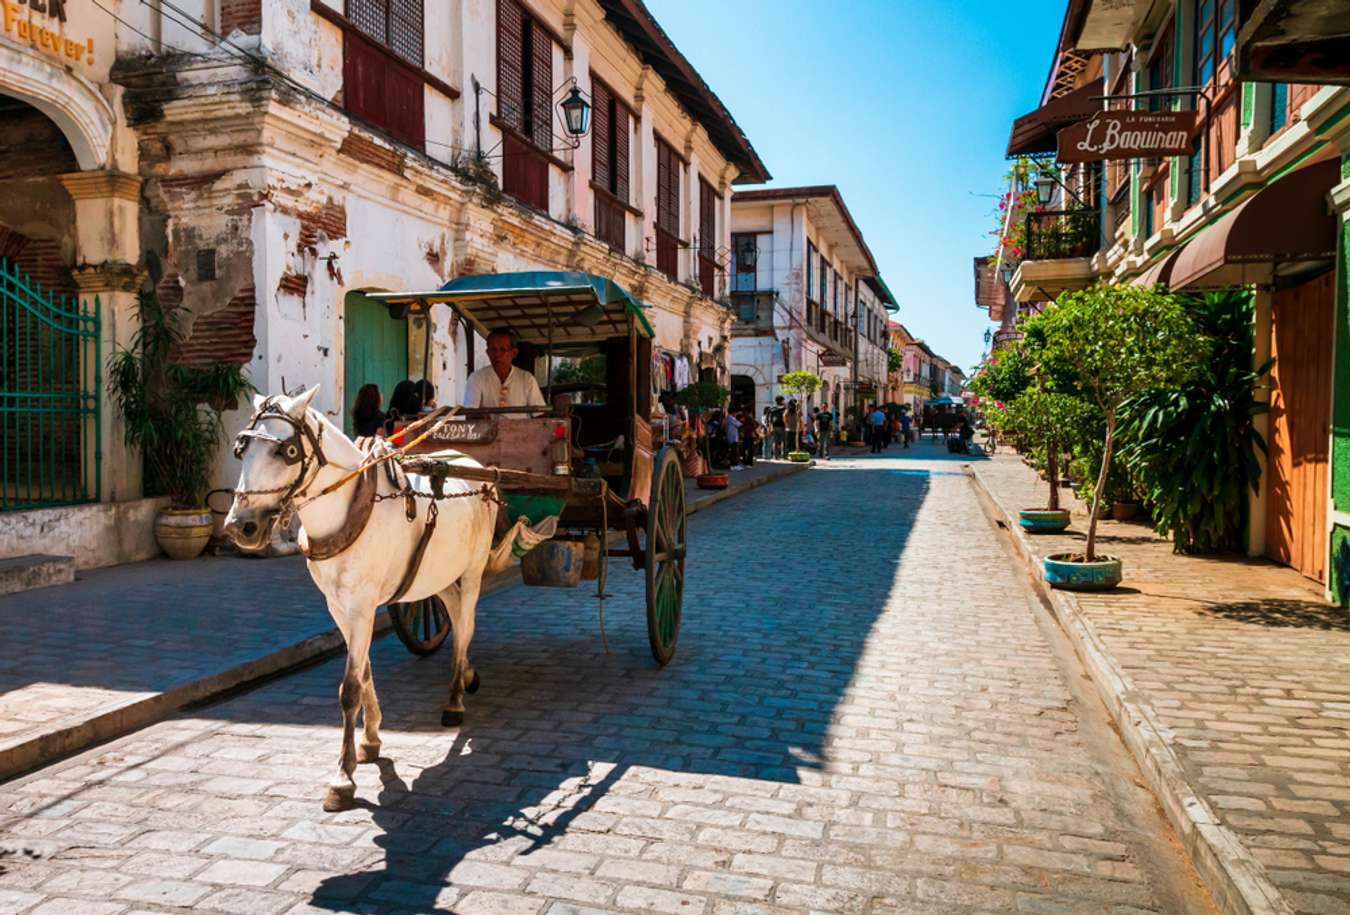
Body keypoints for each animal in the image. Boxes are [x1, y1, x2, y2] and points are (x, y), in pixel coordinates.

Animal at [226, 385, 502, 809]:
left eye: (287, 451)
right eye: (242, 450)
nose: (241, 526)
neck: (349, 509)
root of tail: (475, 466)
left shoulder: (361, 607)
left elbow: (350, 688)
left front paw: (343, 778)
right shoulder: (341, 608)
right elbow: (365, 672)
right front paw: (370, 741)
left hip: (472, 571)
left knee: (468, 623)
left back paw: (455, 698)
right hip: (437, 574)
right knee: (456, 619)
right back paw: (467, 674)